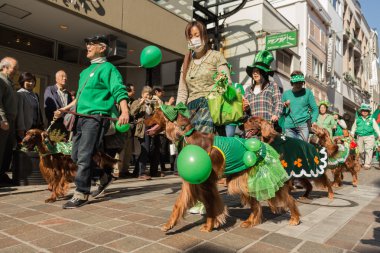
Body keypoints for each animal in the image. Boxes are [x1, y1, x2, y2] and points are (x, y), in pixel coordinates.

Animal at [143, 109, 300, 232]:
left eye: (155, 112)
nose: (143, 120)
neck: (189, 138)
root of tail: (265, 146)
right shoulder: (191, 183)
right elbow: (178, 205)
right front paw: (169, 225)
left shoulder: (206, 185)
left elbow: (210, 207)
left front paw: (209, 227)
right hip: (243, 182)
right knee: (256, 205)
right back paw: (250, 221)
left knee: (289, 199)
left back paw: (295, 218)